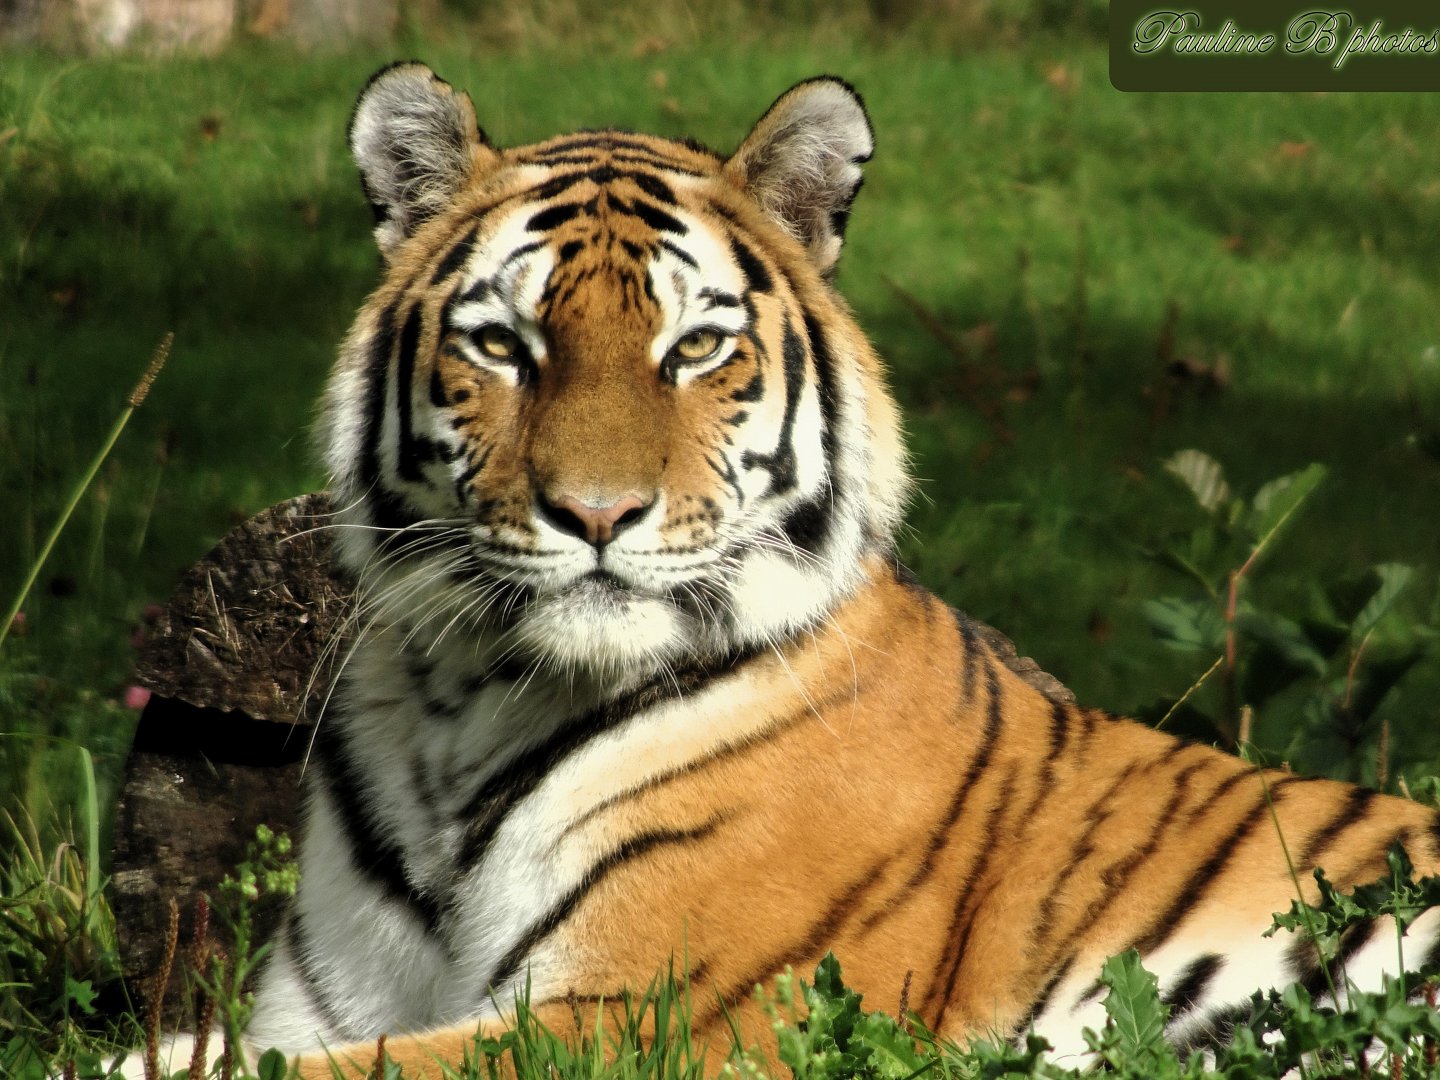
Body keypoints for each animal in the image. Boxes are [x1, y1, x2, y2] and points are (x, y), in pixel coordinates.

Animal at [135, 63, 1440, 1079]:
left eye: (696, 346)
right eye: (504, 345)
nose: (596, 513)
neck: (461, 713)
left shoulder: (649, 1016)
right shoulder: (317, 1006)